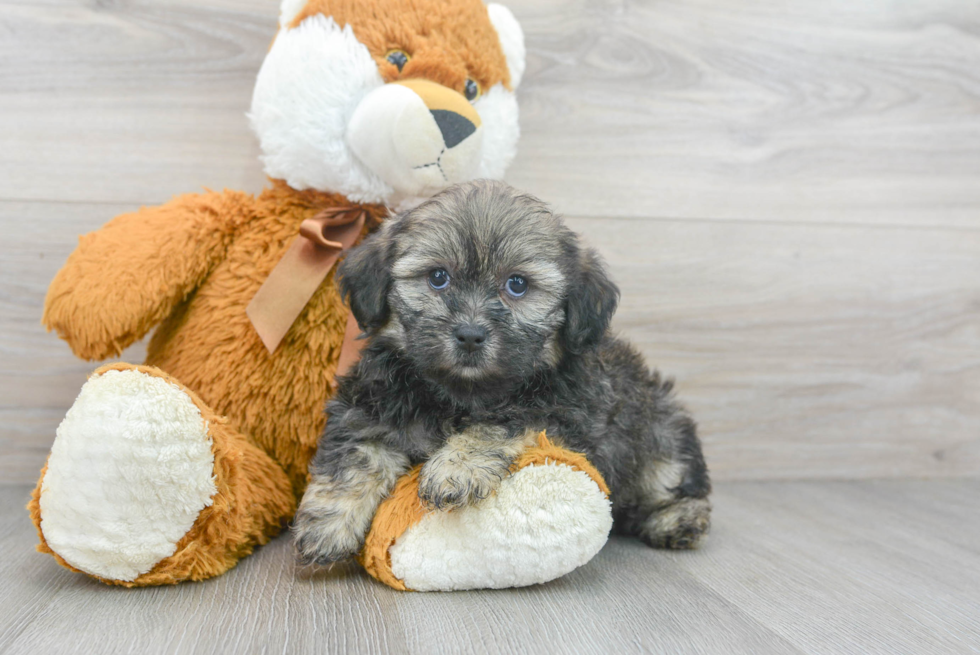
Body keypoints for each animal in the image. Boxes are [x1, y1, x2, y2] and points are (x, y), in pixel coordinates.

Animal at [292, 178, 712, 564]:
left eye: (517, 284)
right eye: (438, 277)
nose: (470, 334)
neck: (458, 393)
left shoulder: (561, 411)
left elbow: (500, 423)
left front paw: (455, 468)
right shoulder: (368, 407)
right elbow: (355, 456)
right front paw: (327, 523)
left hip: (659, 435)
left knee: (672, 481)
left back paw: (678, 520)